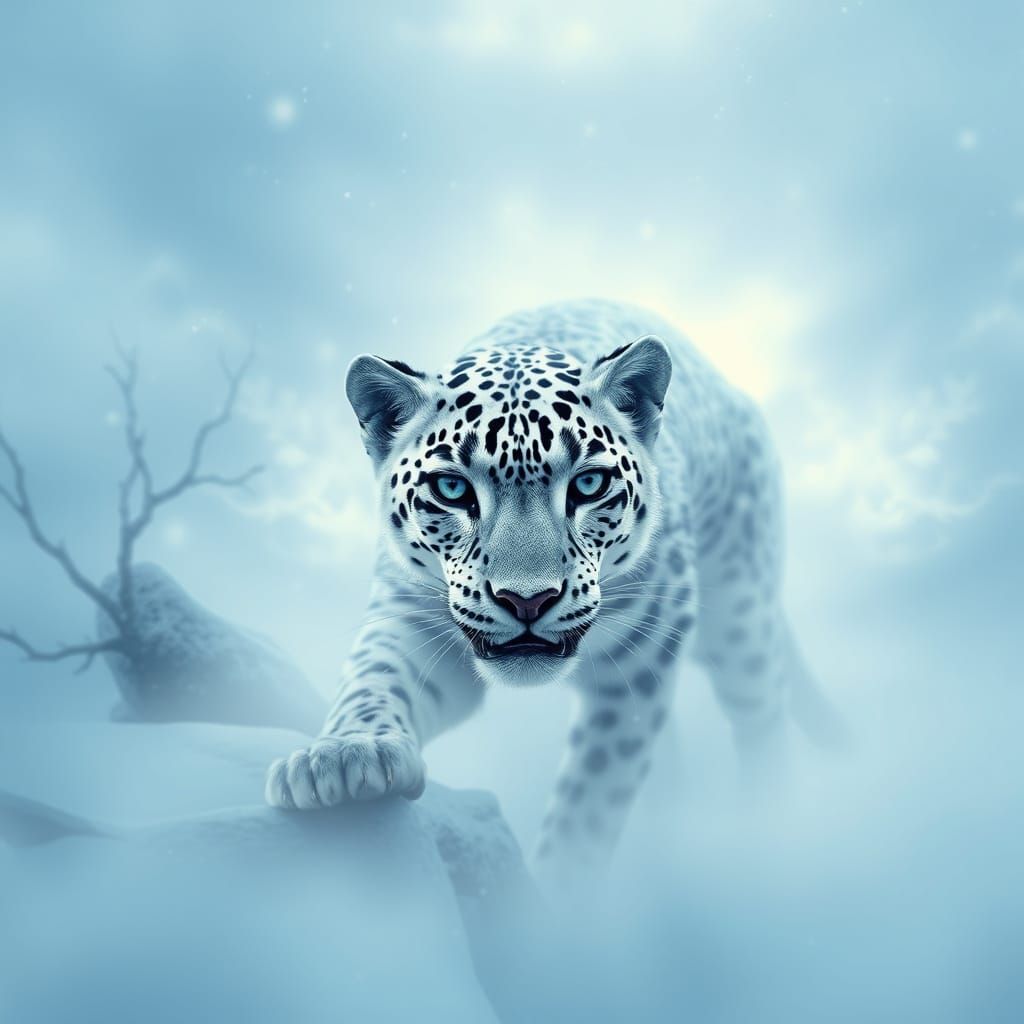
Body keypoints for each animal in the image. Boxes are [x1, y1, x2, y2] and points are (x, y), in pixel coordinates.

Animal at [265, 299, 844, 887]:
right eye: (451, 489)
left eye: (589, 485)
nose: (528, 600)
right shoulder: (412, 618)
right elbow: (373, 678)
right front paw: (343, 759)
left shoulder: (641, 656)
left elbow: (591, 802)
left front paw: (555, 894)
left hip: (740, 617)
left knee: (761, 714)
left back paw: (763, 826)